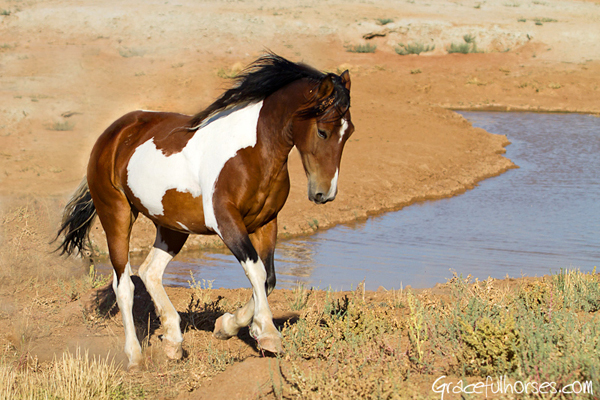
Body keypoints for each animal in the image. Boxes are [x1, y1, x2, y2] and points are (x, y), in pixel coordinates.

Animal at [54, 52, 354, 368]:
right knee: (124, 285)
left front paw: (228, 326)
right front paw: (268, 334)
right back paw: (135, 356)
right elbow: (256, 271)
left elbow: (269, 277)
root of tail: (113, 133)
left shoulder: (266, 222)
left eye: (349, 132)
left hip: (173, 227)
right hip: (117, 214)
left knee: (150, 272)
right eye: (322, 131)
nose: (324, 194)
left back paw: (173, 341)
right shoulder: (226, 221)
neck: (254, 153)